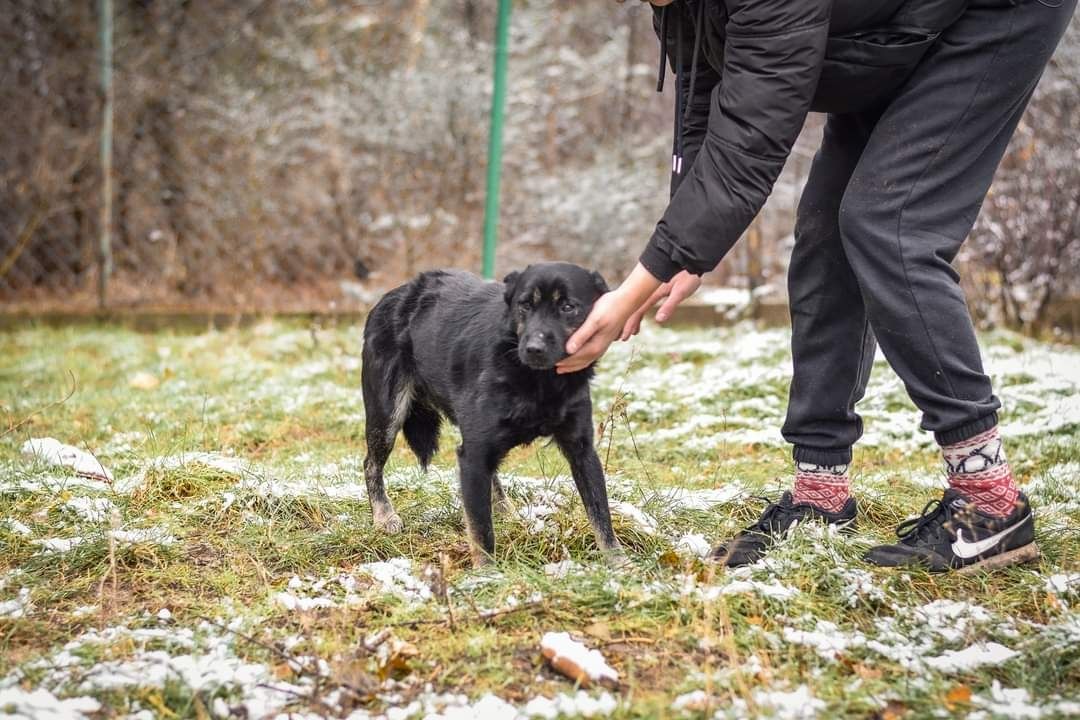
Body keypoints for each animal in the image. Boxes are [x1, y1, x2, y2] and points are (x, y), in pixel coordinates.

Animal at [360, 262, 622, 565]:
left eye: (568, 307)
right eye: (525, 305)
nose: (533, 349)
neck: (539, 382)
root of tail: (391, 296)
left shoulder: (582, 451)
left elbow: (601, 515)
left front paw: (620, 565)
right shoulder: (472, 455)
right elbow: (481, 530)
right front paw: (487, 572)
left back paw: (505, 509)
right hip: (387, 415)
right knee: (371, 464)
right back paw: (383, 516)